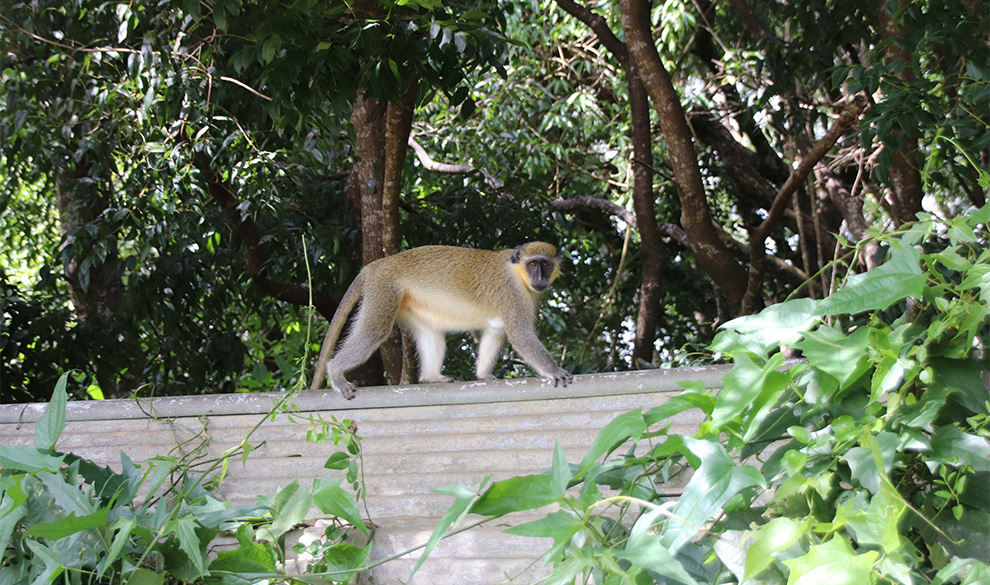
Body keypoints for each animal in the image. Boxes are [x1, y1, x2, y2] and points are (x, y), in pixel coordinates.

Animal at [310, 241, 572, 399]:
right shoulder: (512, 293)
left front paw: (482, 375)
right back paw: (335, 372)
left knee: (430, 332)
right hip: (383, 289)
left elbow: (496, 329)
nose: (539, 278)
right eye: (533, 264)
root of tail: (375, 266)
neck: (517, 273)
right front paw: (555, 371)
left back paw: (431, 377)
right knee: (373, 332)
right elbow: (519, 334)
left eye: (546, 264)